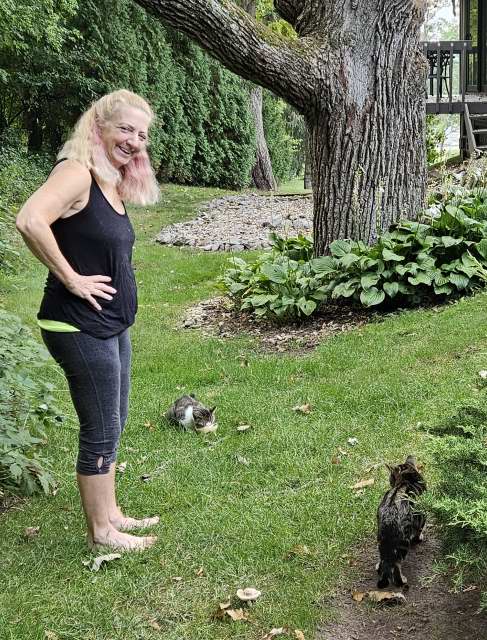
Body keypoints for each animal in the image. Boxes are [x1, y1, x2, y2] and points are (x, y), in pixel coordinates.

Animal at [378, 456, 428, 592]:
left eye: (390, 477)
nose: (390, 482)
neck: (406, 480)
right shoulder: (422, 514)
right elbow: (420, 529)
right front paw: (419, 537)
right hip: (403, 544)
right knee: (396, 565)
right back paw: (402, 580)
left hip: (381, 541)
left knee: (384, 560)